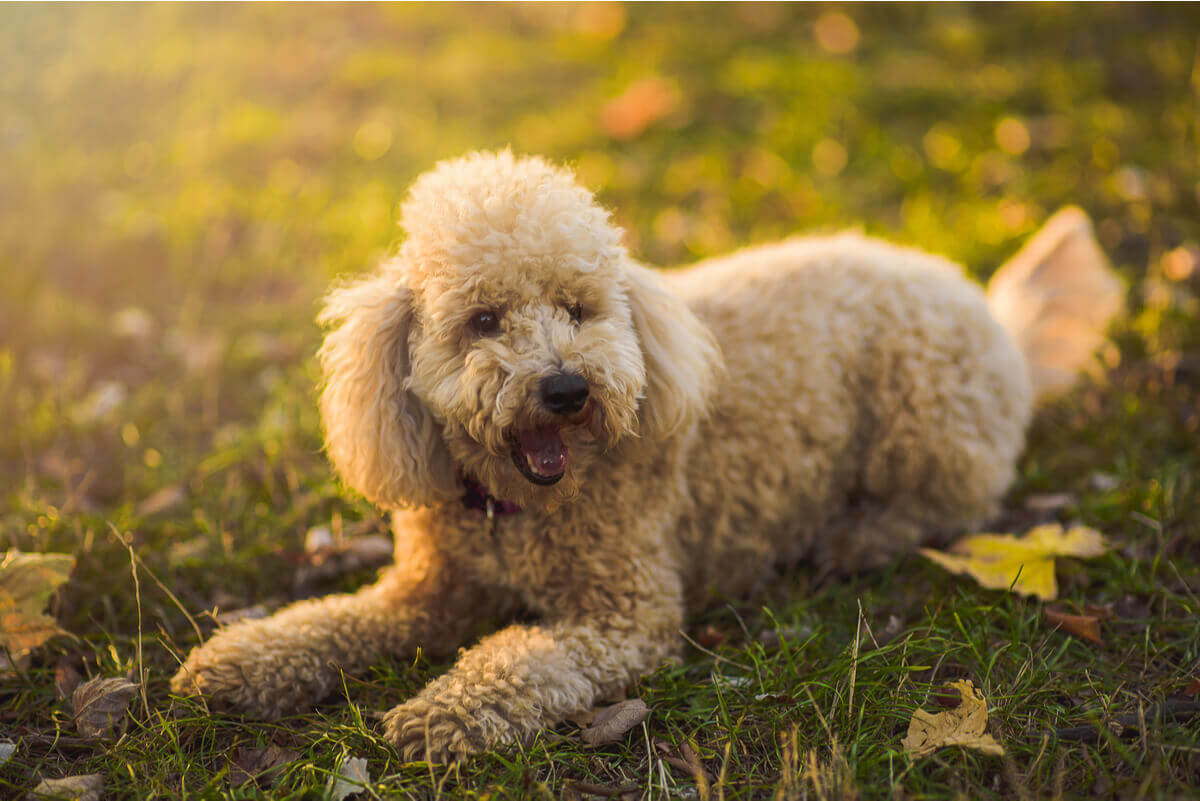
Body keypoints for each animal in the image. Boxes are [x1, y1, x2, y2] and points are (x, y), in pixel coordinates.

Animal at [171, 148, 1123, 757]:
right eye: (483, 320)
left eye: (578, 307)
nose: (566, 388)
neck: (515, 508)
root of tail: (991, 311)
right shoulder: (426, 591)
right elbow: (333, 619)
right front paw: (244, 660)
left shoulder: (625, 614)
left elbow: (524, 654)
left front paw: (445, 711)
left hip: (924, 410)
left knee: (955, 501)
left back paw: (858, 535)